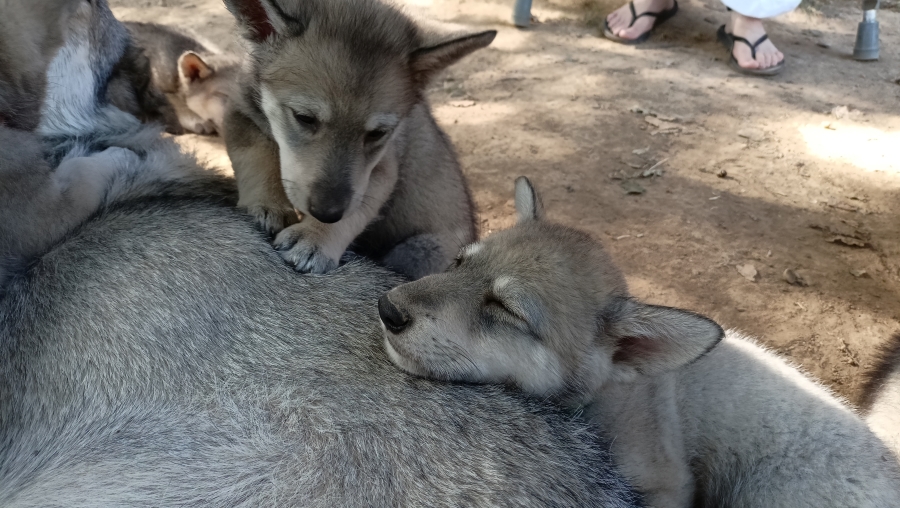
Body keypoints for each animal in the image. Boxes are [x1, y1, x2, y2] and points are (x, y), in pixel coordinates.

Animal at [222, 0, 491, 279]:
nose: (327, 213)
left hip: (421, 251)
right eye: (304, 118)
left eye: (377, 133)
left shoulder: (382, 170)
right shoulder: (239, 111)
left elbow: (356, 211)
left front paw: (313, 238)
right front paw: (268, 204)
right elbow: (255, 155)